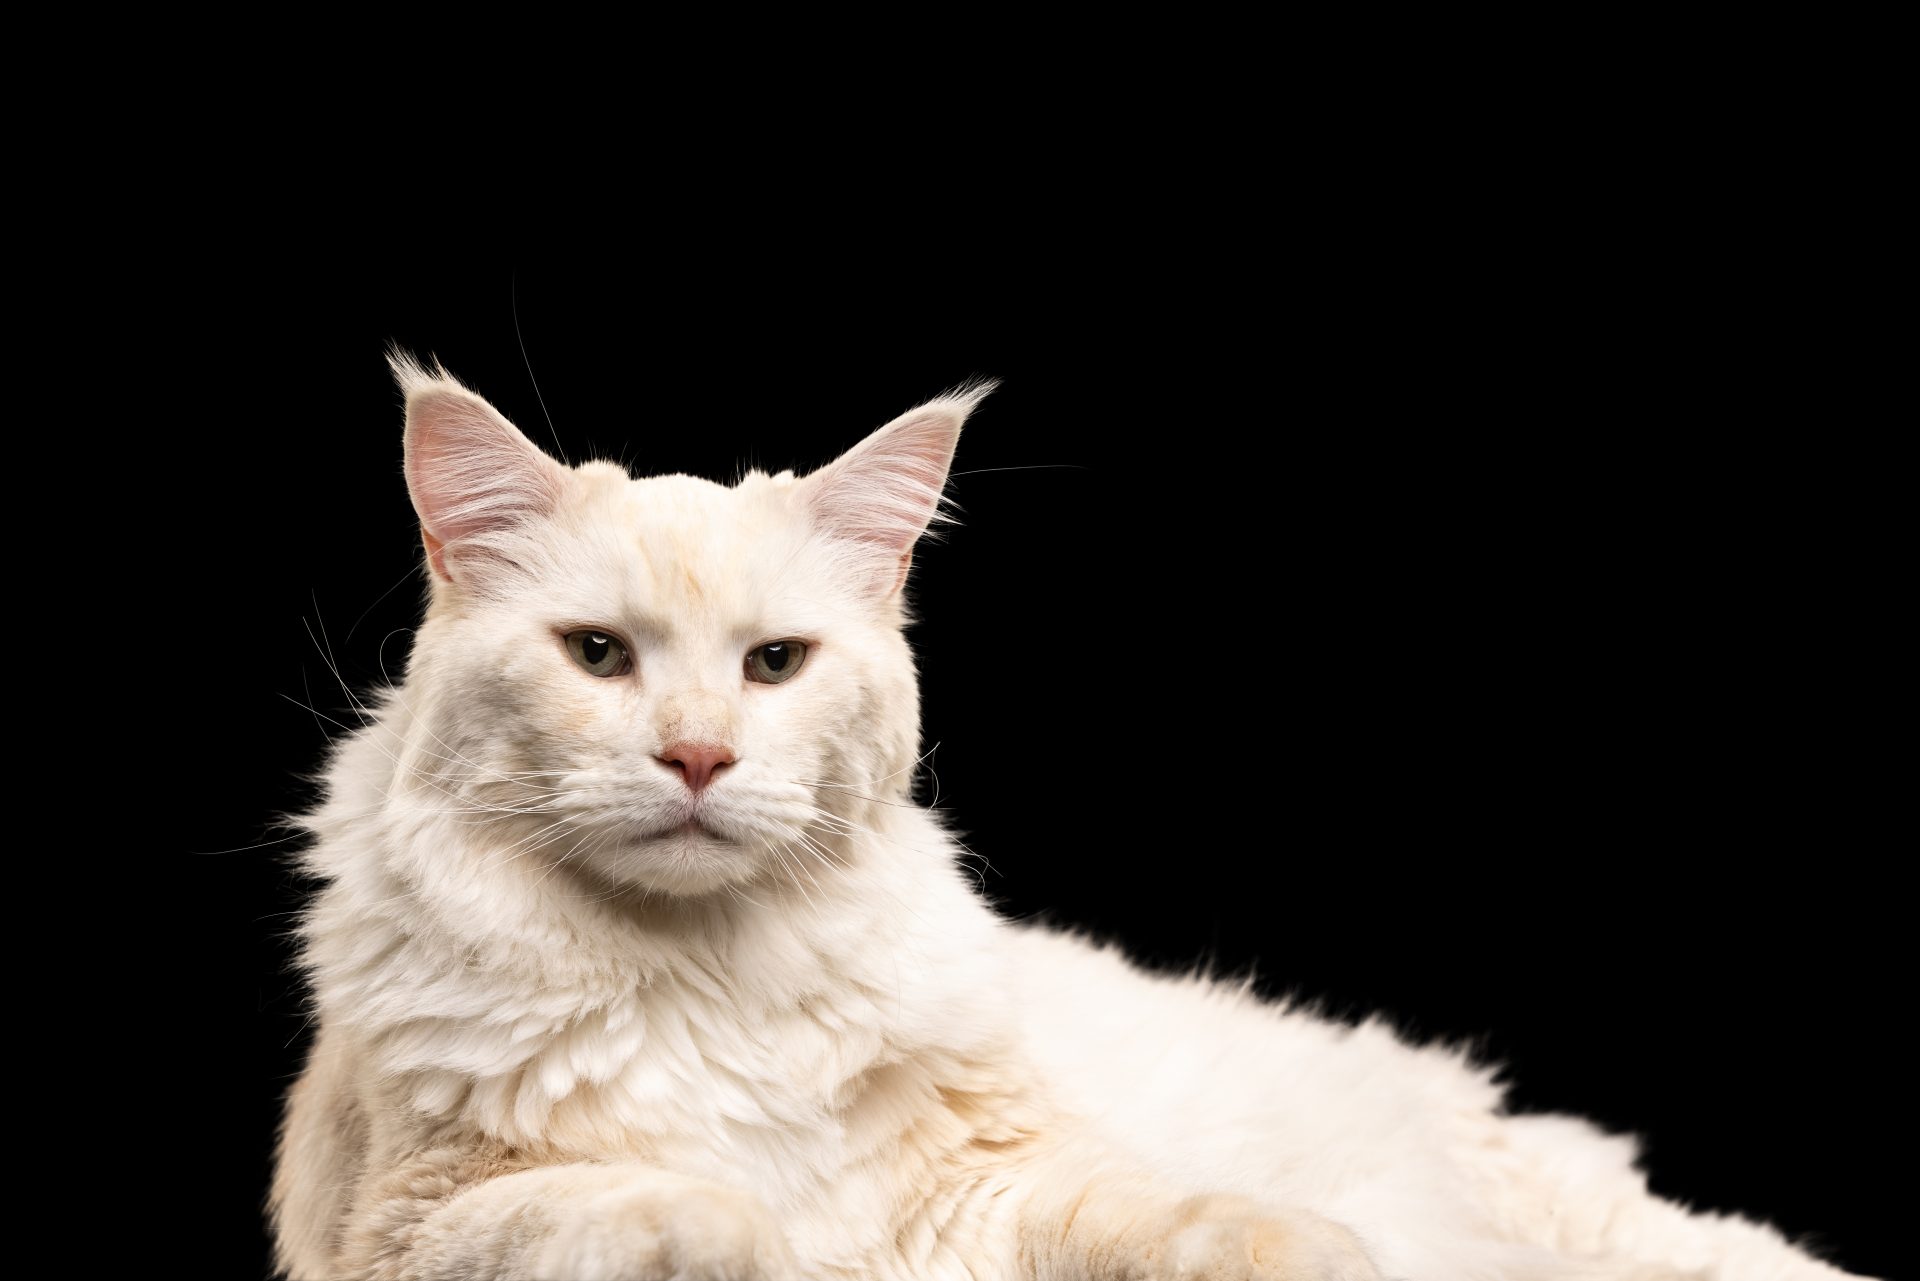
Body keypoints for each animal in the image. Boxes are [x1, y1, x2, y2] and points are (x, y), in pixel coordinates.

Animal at [266, 355, 1858, 1281]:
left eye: (774, 665)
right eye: (599, 656)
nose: (702, 757)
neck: (705, 983)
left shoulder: (997, 1187)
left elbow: (1170, 1221)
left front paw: (1304, 1248)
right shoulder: (406, 1220)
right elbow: (633, 1208)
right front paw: (745, 1231)